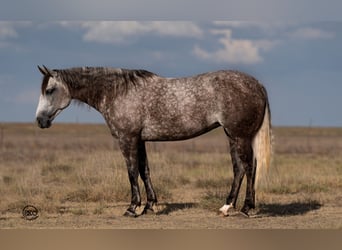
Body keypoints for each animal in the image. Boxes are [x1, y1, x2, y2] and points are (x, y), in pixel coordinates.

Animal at [35, 66, 270, 217]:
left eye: (49, 90)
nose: (40, 120)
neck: (118, 92)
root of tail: (257, 84)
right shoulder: (140, 141)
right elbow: (144, 170)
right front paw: (150, 206)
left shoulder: (127, 139)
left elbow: (131, 172)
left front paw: (132, 208)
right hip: (232, 136)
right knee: (239, 169)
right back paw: (226, 207)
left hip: (239, 136)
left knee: (249, 167)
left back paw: (246, 208)